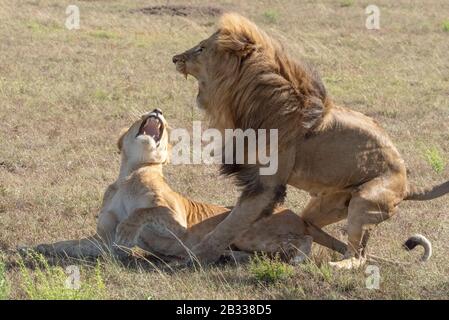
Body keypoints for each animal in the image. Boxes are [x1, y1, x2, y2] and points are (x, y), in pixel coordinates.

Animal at [31, 108, 364, 262]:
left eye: (164, 124)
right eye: (143, 114)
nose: (157, 110)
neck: (130, 173)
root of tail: (295, 214)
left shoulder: (176, 222)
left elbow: (143, 212)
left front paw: (128, 228)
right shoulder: (101, 241)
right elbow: (68, 244)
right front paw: (35, 248)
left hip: (249, 230)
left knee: (302, 243)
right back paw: (226, 256)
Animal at [172, 13, 448, 268]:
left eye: (201, 48)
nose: (175, 58)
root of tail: (408, 185)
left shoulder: (266, 185)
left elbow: (227, 227)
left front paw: (191, 257)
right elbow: (235, 223)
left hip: (364, 202)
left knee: (358, 256)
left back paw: (334, 266)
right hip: (321, 208)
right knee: (323, 233)